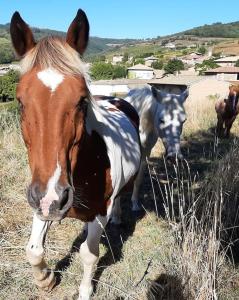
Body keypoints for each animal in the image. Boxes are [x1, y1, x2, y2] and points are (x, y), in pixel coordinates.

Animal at [10, 9, 141, 300]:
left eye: (81, 101)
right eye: (20, 101)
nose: (52, 196)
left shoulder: (96, 212)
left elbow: (89, 255)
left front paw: (84, 290)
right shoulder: (42, 202)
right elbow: (33, 249)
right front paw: (45, 279)